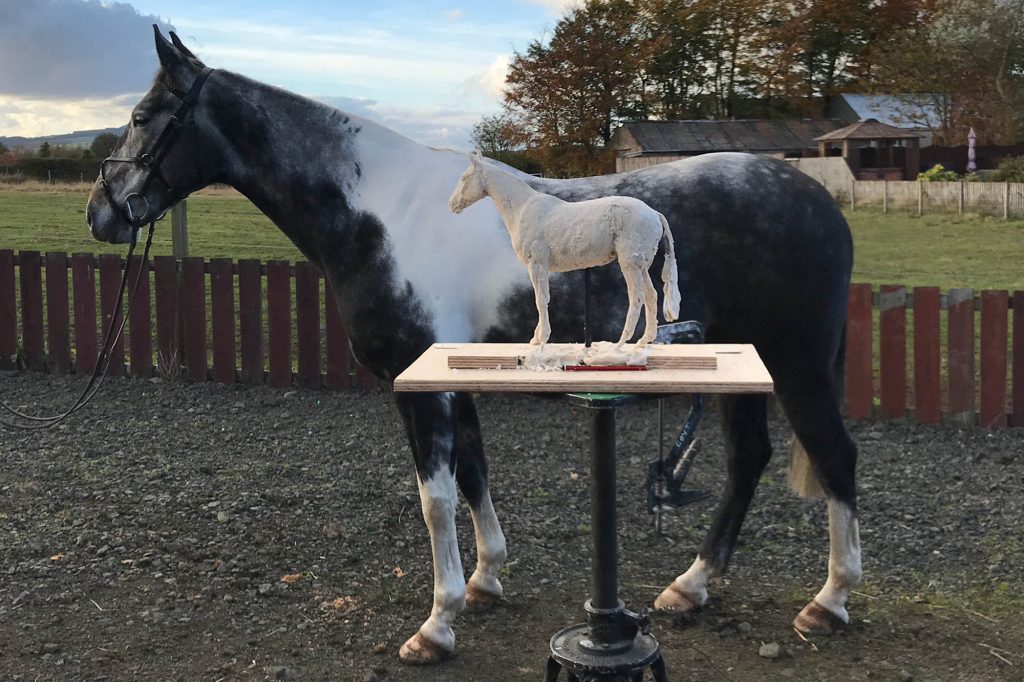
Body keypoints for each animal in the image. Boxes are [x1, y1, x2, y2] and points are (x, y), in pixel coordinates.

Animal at [86, 29, 856, 659]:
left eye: (142, 117)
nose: (101, 212)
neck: (378, 216)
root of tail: (818, 200)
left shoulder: (419, 389)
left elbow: (436, 498)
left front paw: (437, 623)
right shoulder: (451, 378)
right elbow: (475, 474)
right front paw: (486, 580)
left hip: (799, 364)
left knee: (834, 456)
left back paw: (828, 602)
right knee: (749, 458)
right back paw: (691, 586)